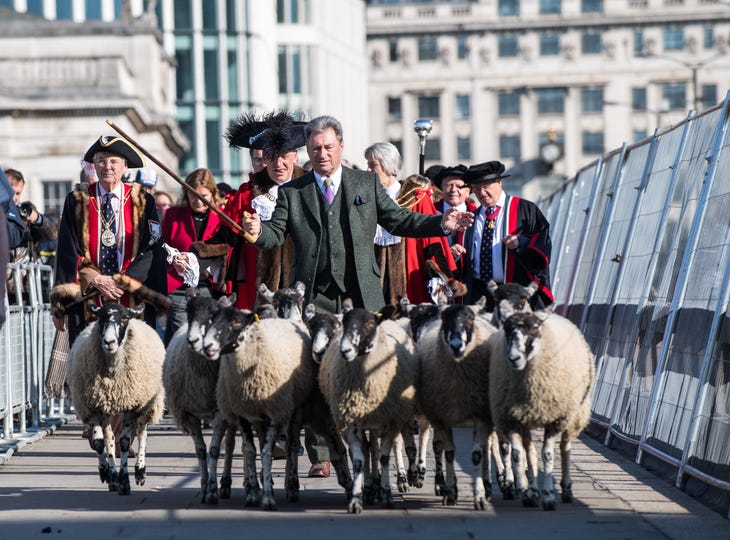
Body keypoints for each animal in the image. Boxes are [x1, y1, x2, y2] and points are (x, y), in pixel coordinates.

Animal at [66, 302, 165, 496]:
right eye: (100, 318)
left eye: (125, 318)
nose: (109, 342)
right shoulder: (94, 406)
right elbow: (99, 442)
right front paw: (107, 473)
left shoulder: (131, 407)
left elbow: (126, 443)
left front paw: (125, 481)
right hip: (107, 410)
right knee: (110, 437)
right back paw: (113, 477)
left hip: (147, 405)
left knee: (142, 433)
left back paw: (140, 472)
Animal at [318, 306, 418, 512]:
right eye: (344, 323)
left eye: (370, 323)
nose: (345, 350)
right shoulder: (352, 421)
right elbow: (359, 460)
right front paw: (357, 498)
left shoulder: (391, 420)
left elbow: (385, 457)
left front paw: (387, 494)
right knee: (370, 449)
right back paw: (372, 487)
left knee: (390, 447)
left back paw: (397, 481)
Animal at [416, 302, 506, 508]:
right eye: (445, 318)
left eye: (470, 318)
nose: (456, 345)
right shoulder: (441, 417)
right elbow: (449, 453)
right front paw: (450, 492)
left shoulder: (481, 415)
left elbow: (477, 455)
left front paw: (480, 496)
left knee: (488, 448)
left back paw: (490, 485)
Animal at [486, 308, 596, 510]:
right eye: (506, 329)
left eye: (534, 328)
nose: (514, 358)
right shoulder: (511, 417)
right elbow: (517, 454)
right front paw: (525, 489)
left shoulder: (555, 419)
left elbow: (548, 454)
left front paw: (549, 496)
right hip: (526, 419)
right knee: (530, 451)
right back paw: (532, 491)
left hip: (574, 414)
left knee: (565, 447)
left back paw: (566, 489)